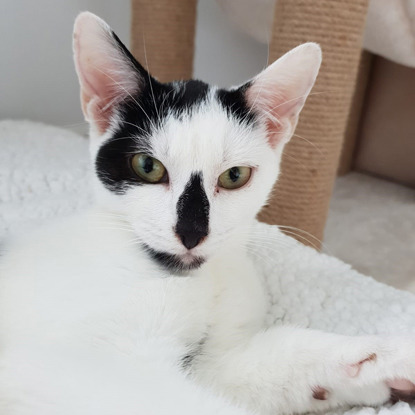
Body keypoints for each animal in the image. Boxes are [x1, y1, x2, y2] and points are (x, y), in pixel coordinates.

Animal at [0, 12, 415, 415]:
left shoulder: (212, 364)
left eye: (235, 176)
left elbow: (247, 365)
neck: (194, 281)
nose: (191, 232)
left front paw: (384, 360)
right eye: (147, 166)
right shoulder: (63, 371)